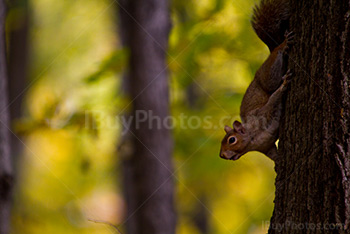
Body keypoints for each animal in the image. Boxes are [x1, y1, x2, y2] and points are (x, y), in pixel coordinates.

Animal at [220, 0, 294, 161]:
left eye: (232, 140)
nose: (222, 155)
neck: (253, 139)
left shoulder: (262, 114)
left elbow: (273, 100)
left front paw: (284, 85)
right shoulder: (266, 148)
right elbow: (274, 156)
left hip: (268, 76)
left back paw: (283, 45)